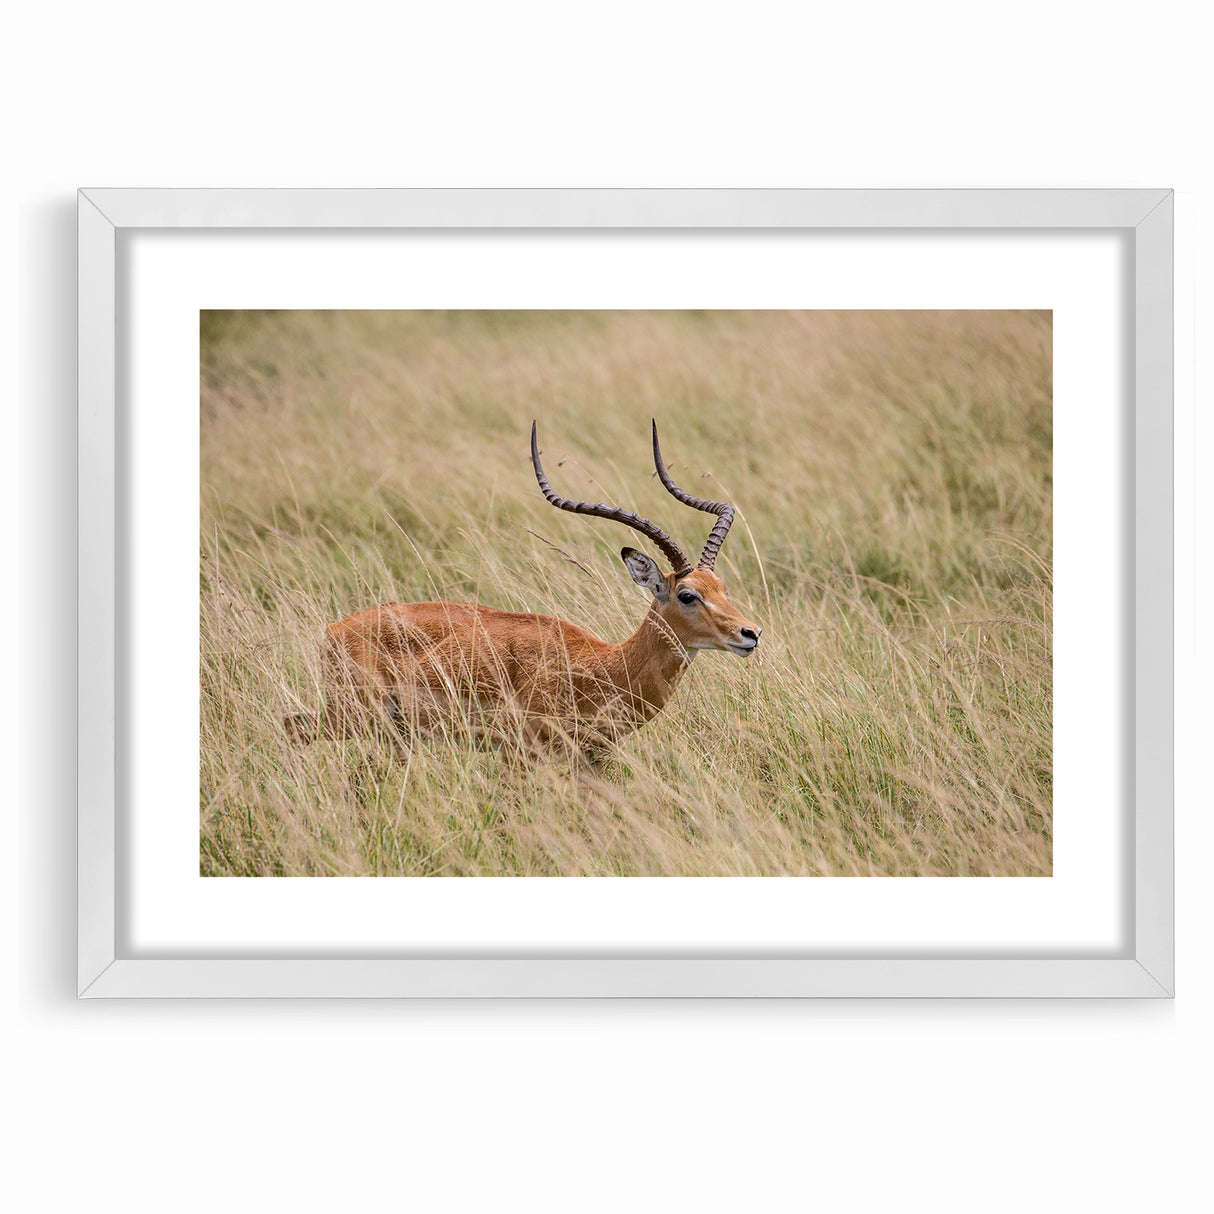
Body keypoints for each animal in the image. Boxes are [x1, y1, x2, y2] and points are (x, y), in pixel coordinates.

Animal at [284, 421, 762, 760]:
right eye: (687, 595)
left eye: (721, 586)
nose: (750, 634)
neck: (604, 666)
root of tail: (335, 629)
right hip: (354, 715)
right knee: (291, 728)